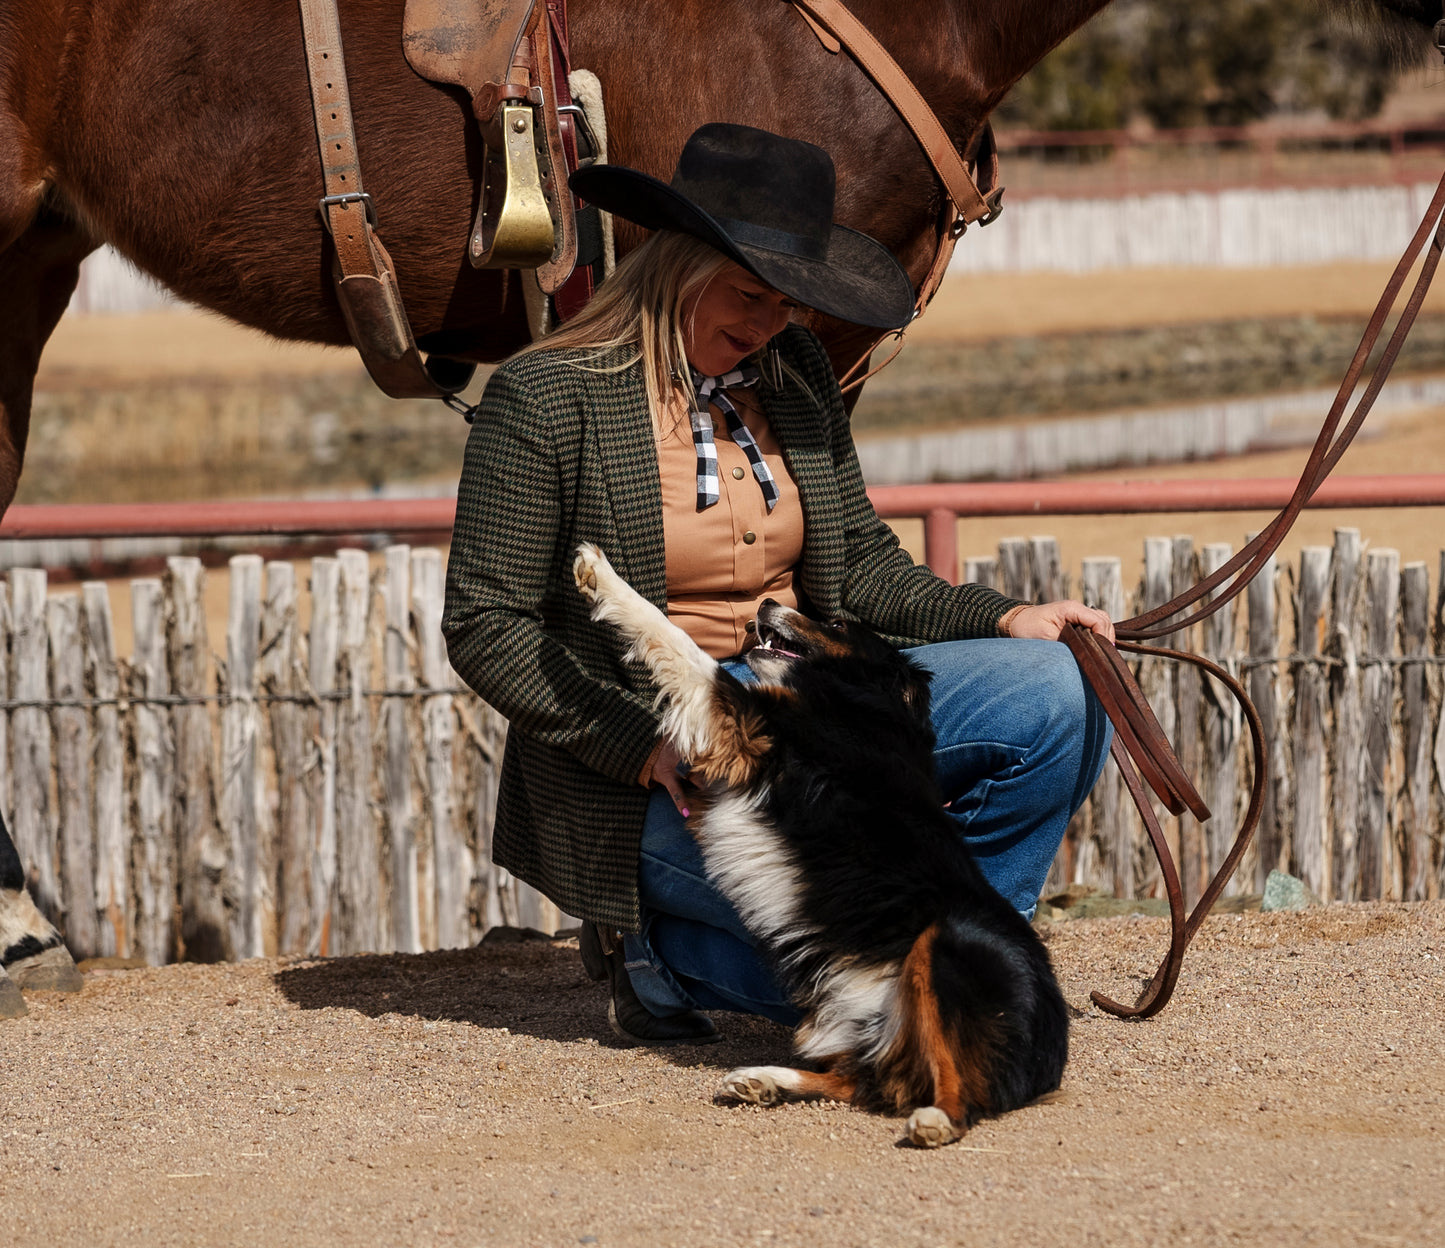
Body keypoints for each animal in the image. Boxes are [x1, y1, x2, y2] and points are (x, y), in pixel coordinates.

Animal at [569, 540, 1069, 1144]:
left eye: (835, 623)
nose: (764, 602)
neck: (860, 701)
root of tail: (1051, 1046)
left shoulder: (749, 722)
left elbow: (677, 641)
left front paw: (600, 575)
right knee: (866, 1081)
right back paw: (764, 1081)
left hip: (949, 943)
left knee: (957, 1089)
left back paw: (934, 1122)